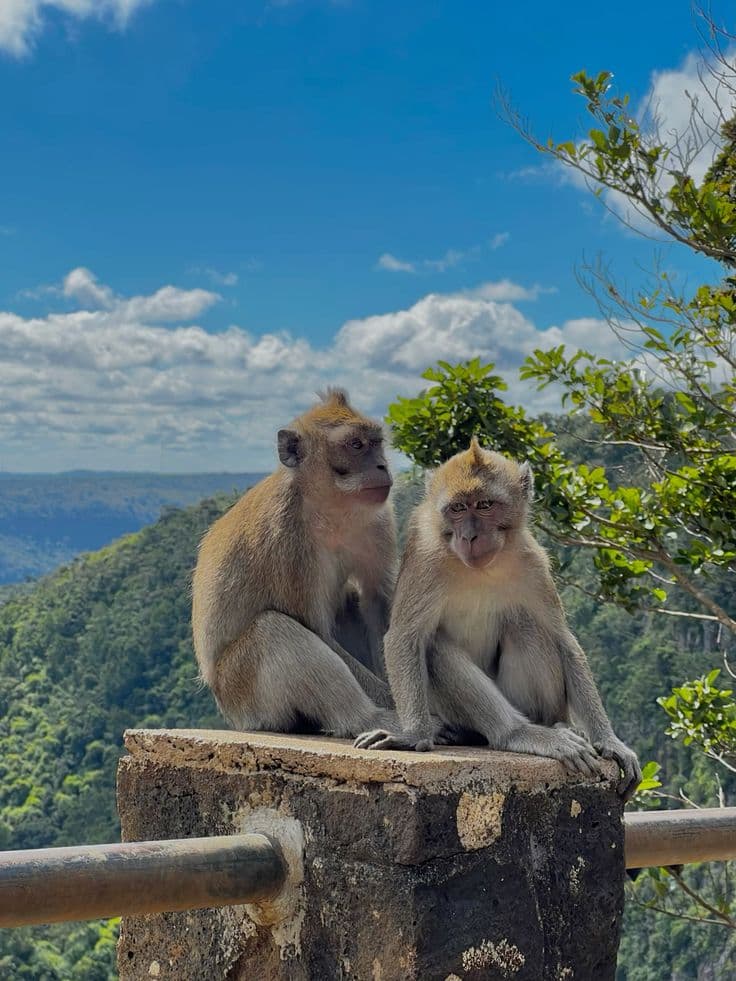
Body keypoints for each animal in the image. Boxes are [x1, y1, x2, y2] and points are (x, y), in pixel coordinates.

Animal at [192, 388, 400, 738]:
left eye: (376, 443)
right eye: (356, 445)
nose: (382, 465)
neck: (329, 508)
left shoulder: (379, 521)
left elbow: (377, 605)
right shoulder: (287, 539)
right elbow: (316, 630)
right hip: (242, 693)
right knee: (273, 630)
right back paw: (371, 720)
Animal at [355, 439, 642, 801]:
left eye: (485, 505)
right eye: (457, 509)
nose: (469, 536)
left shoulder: (532, 563)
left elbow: (563, 639)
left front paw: (610, 741)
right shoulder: (425, 558)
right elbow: (405, 637)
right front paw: (413, 735)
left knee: (527, 627)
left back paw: (553, 725)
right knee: (435, 647)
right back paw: (516, 733)